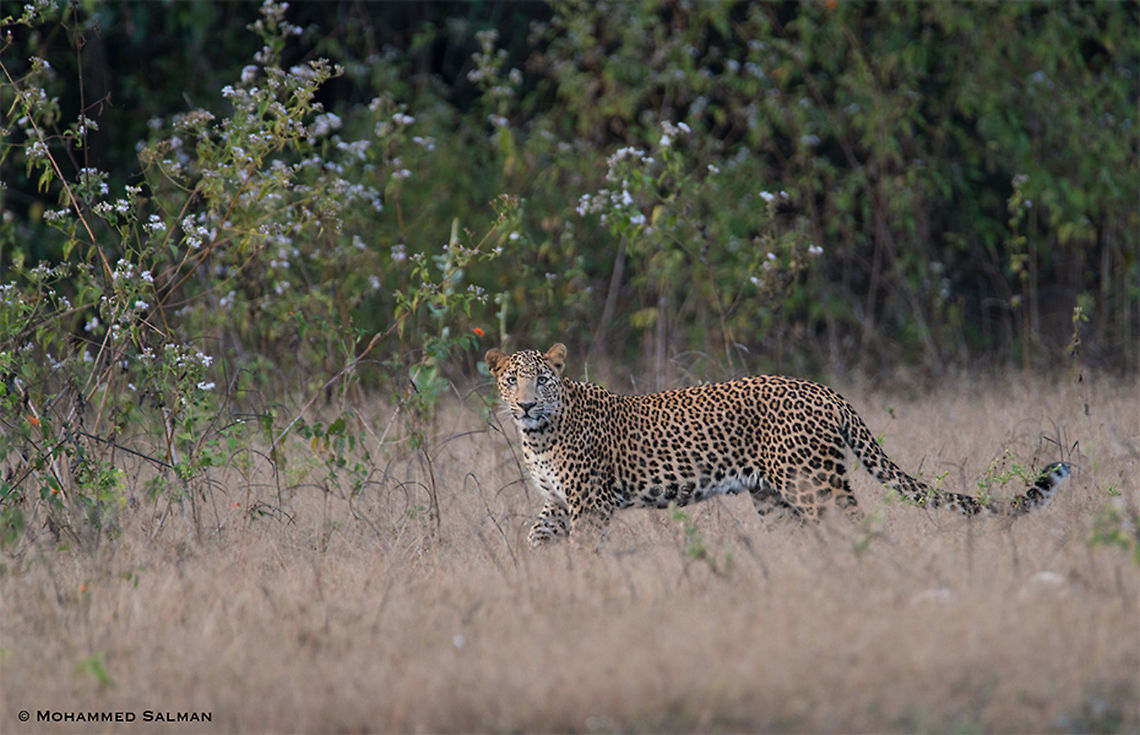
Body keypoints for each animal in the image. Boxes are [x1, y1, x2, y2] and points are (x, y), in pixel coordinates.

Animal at [485, 343, 1072, 548]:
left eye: (542, 381)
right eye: (511, 380)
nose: (525, 406)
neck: (538, 435)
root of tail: (824, 389)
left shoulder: (591, 504)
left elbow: (586, 552)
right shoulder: (556, 503)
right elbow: (537, 539)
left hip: (813, 481)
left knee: (853, 524)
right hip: (772, 495)